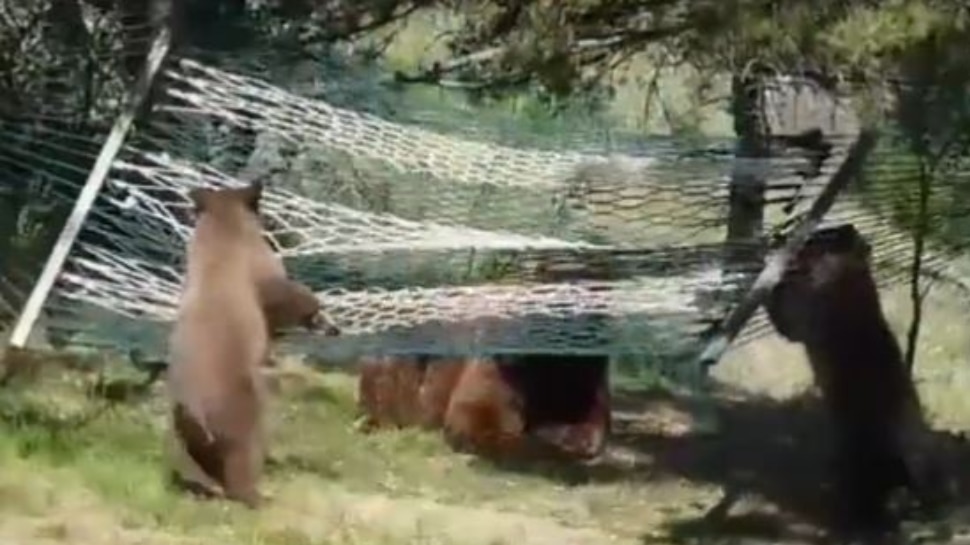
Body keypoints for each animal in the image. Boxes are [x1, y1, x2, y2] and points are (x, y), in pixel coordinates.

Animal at [166, 181, 278, 508]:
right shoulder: (263, 261)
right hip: (245, 413)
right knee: (244, 456)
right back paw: (255, 495)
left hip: (186, 424)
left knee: (201, 458)